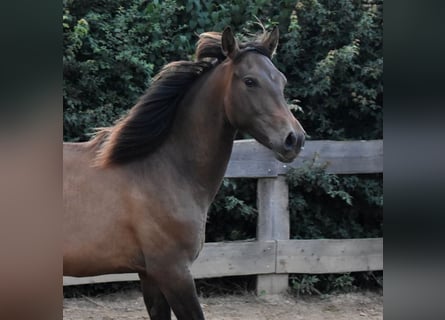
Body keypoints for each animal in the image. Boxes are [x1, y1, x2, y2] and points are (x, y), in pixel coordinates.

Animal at [63, 26, 306, 318]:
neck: (165, 170)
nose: (294, 139)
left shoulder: (149, 274)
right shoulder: (173, 271)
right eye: (250, 81)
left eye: (282, 81)